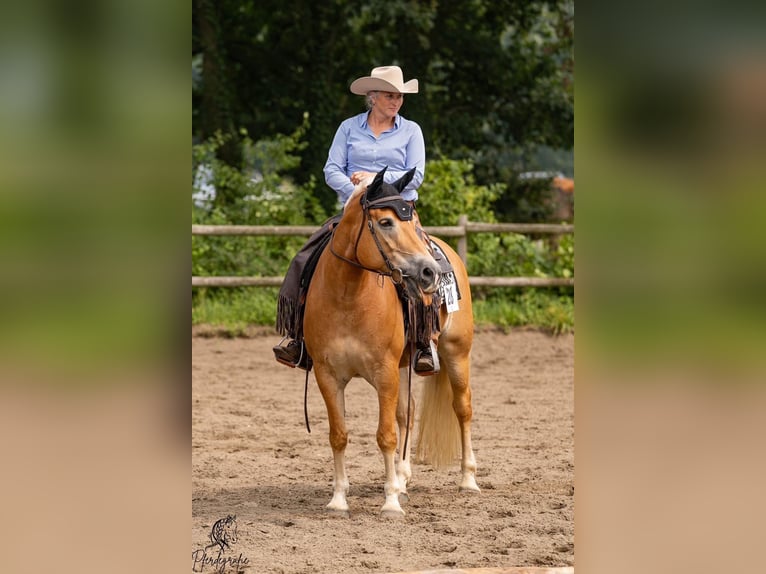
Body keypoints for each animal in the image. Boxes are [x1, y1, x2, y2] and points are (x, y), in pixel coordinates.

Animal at [302, 168, 476, 520]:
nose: (429, 272)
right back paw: (403, 478)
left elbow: (385, 436)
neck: (348, 298)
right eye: (385, 222)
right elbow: (339, 435)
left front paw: (391, 502)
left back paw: (467, 479)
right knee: (407, 413)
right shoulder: (328, 376)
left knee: (462, 408)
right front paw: (338, 499)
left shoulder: (384, 374)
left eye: (410, 221)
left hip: (456, 353)